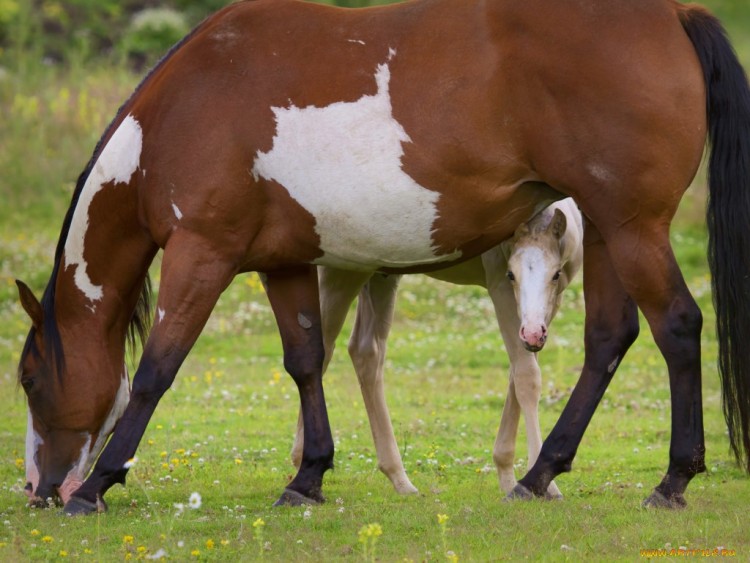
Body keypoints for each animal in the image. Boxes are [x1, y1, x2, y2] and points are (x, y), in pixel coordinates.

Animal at [290, 198, 584, 498]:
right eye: (511, 274)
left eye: (556, 274)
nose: (534, 333)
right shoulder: (500, 287)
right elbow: (526, 375)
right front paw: (543, 485)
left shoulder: (551, 304)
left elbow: (518, 370)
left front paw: (509, 476)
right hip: (343, 272)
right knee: (324, 345)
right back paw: (303, 461)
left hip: (380, 275)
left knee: (365, 350)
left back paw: (399, 478)